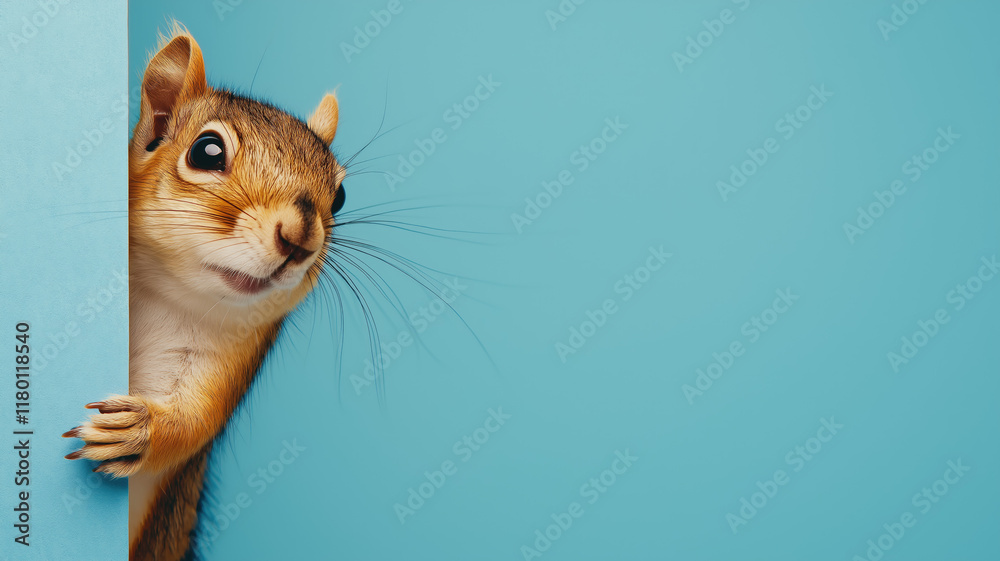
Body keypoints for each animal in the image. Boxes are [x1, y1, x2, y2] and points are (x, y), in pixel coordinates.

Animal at [62, 23, 347, 560]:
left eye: (339, 196)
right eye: (206, 151)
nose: (300, 237)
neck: (166, 295)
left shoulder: (228, 356)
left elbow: (195, 420)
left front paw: (139, 431)